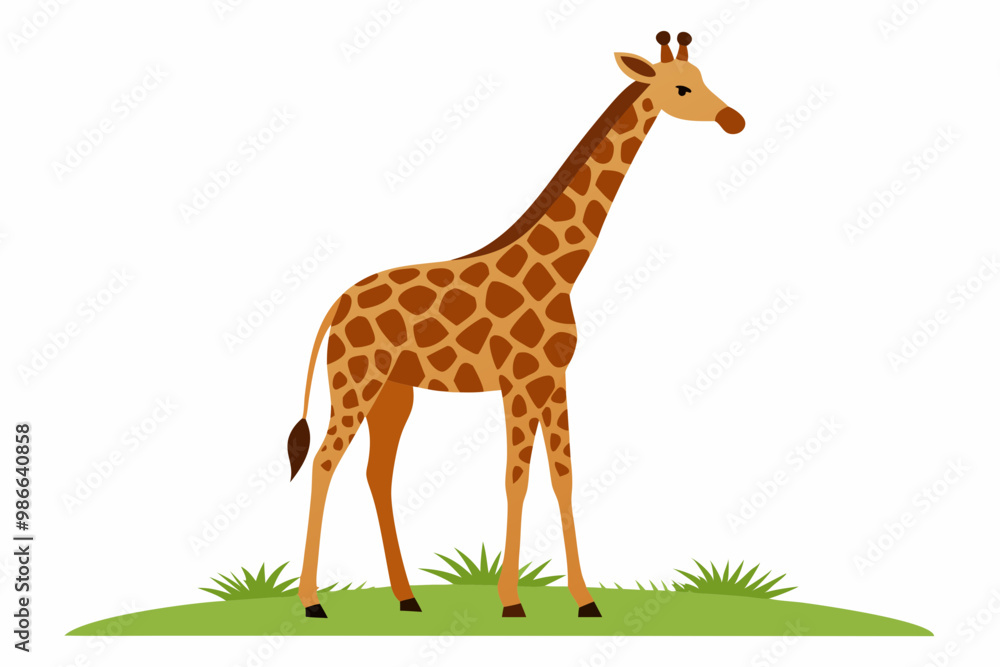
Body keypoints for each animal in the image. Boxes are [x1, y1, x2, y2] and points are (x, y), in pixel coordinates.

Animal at [287, 31, 744, 620]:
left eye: (704, 77)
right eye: (683, 88)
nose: (734, 120)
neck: (562, 268)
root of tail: (337, 305)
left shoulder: (554, 378)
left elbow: (564, 477)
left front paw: (585, 601)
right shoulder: (518, 381)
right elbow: (517, 480)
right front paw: (512, 603)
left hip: (394, 391)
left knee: (376, 472)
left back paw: (407, 597)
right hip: (355, 380)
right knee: (324, 462)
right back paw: (312, 602)